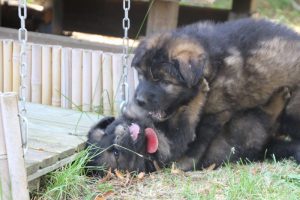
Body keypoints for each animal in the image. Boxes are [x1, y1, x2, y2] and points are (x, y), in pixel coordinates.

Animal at [131, 17, 300, 170]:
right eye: (141, 75)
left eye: (164, 81)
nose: (139, 100)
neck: (212, 67)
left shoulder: (216, 113)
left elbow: (198, 141)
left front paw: (186, 162)